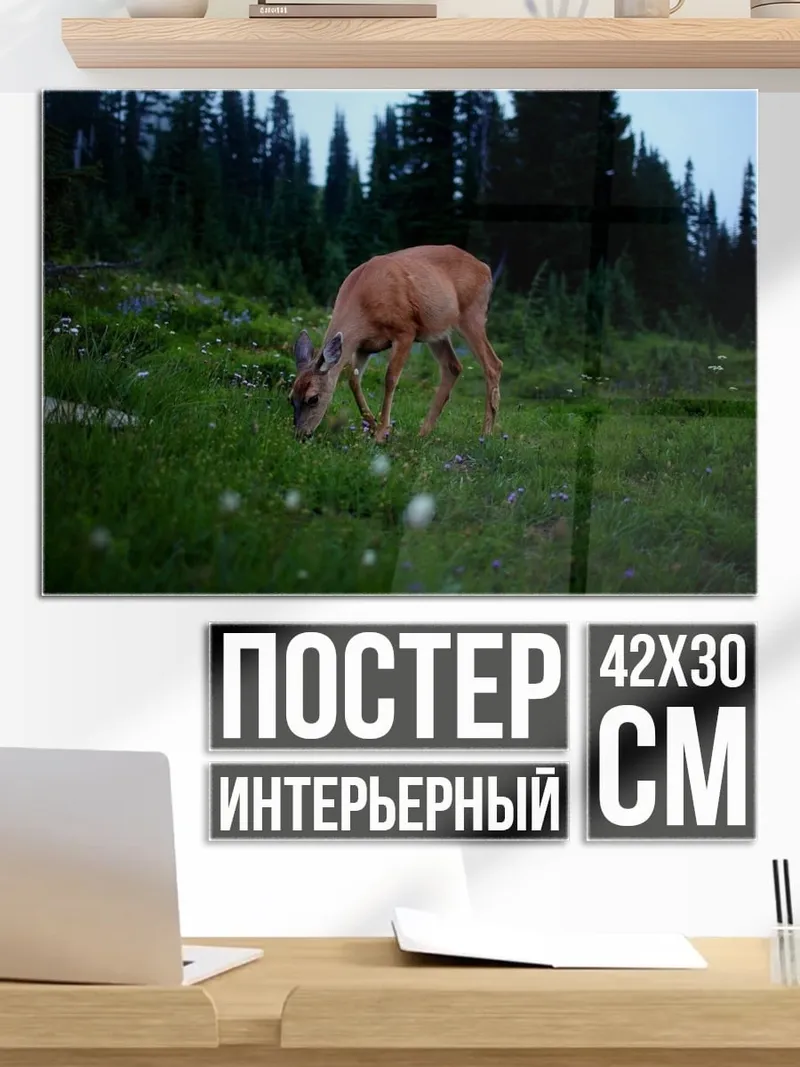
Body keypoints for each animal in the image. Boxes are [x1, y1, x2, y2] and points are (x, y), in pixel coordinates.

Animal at [289, 244, 503, 442]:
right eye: (291, 398)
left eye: (313, 398)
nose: (300, 435)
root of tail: (485, 268)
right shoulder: (363, 346)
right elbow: (353, 381)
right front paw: (372, 424)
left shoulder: (405, 330)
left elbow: (390, 379)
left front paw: (382, 432)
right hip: (436, 331)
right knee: (453, 366)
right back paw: (423, 432)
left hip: (472, 315)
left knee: (493, 364)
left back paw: (486, 434)